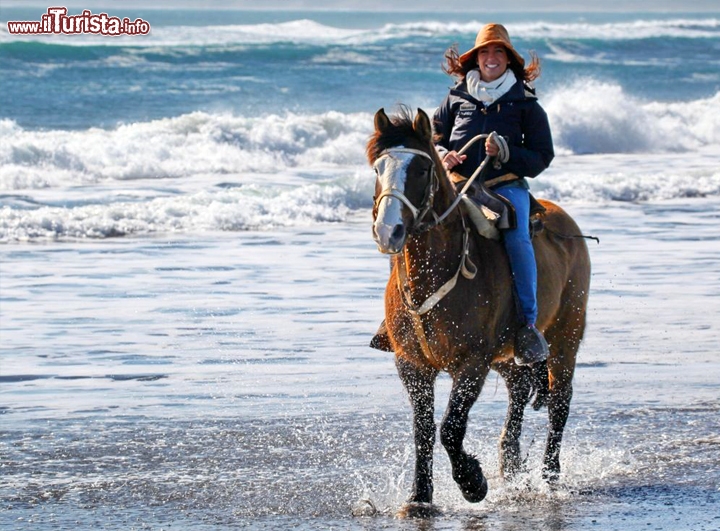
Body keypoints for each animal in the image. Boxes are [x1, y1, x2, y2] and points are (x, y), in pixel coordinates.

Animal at [368, 106, 588, 516]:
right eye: (378, 168)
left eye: (421, 169)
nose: (388, 230)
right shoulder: (412, 364)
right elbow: (423, 429)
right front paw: (420, 497)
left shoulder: (472, 362)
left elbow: (451, 427)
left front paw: (472, 483)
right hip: (507, 353)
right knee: (519, 389)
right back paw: (512, 468)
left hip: (566, 336)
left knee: (559, 403)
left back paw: (549, 476)